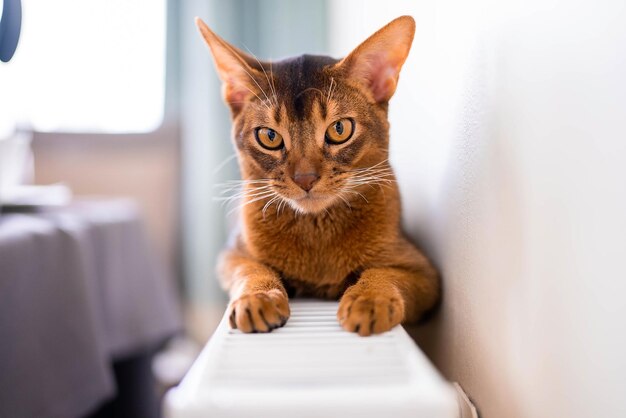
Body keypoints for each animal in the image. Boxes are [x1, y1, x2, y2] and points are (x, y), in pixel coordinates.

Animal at [196, 15, 438, 336]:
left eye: (340, 129)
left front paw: (369, 300)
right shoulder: (230, 255)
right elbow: (250, 269)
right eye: (269, 136)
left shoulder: (424, 274)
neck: (316, 233)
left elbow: (384, 272)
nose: (305, 179)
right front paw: (258, 297)